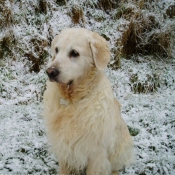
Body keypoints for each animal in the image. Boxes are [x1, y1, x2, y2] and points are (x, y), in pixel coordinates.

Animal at [43, 28, 135, 174]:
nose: (50, 72)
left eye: (74, 53)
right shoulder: (64, 148)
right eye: (56, 50)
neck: (72, 102)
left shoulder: (96, 155)